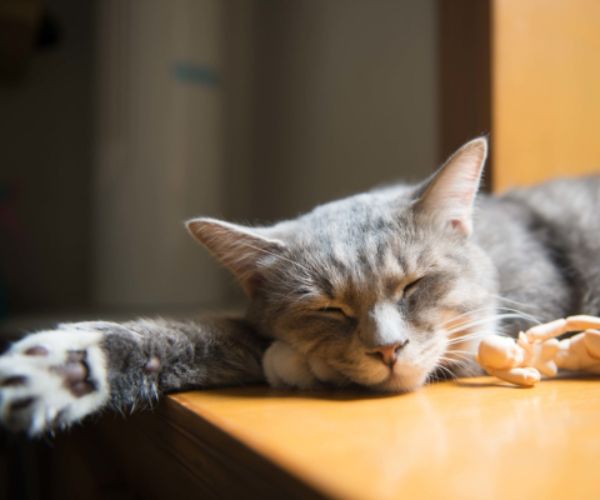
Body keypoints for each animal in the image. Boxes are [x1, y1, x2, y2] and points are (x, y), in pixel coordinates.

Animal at [1, 137, 600, 434]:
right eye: (328, 309)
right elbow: (187, 335)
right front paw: (62, 366)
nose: (388, 349)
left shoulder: (513, 324)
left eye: (414, 285)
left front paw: (295, 364)